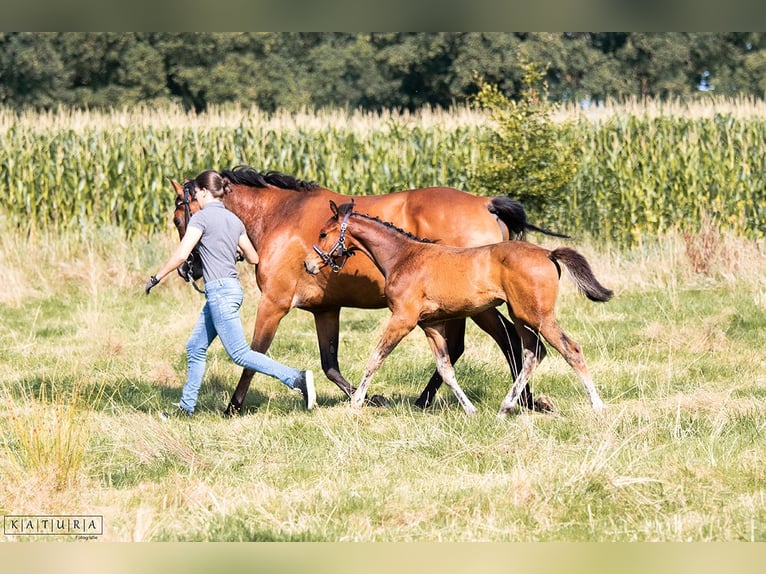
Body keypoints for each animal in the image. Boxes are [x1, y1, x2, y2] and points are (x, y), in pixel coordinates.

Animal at [169, 165, 568, 416]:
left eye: (178, 217)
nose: (190, 269)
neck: (280, 217)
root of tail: (486, 204)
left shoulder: (275, 303)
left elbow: (253, 354)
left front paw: (233, 406)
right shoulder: (325, 310)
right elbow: (329, 364)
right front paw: (368, 397)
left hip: (480, 306)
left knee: (509, 341)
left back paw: (517, 401)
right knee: (482, 345)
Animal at [304, 201, 612, 416]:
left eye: (323, 233)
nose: (308, 264)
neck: (403, 257)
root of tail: (548, 253)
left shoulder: (403, 318)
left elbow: (376, 357)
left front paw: (357, 402)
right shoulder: (430, 324)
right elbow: (445, 368)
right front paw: (470, 409)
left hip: (538, 317)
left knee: (571, 350)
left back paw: (597, 406)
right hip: (521, 316)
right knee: (532, 353)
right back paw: (505, 408)